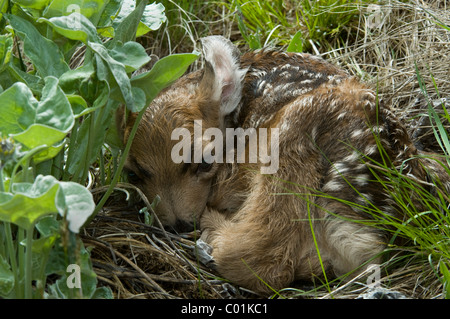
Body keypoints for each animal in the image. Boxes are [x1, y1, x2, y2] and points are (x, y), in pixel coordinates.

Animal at [117, 35, 450, 296]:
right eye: (132, 173)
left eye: (204, 161)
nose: (177, 225)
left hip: (295, 129)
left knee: (262, 259)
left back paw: (210, 234)